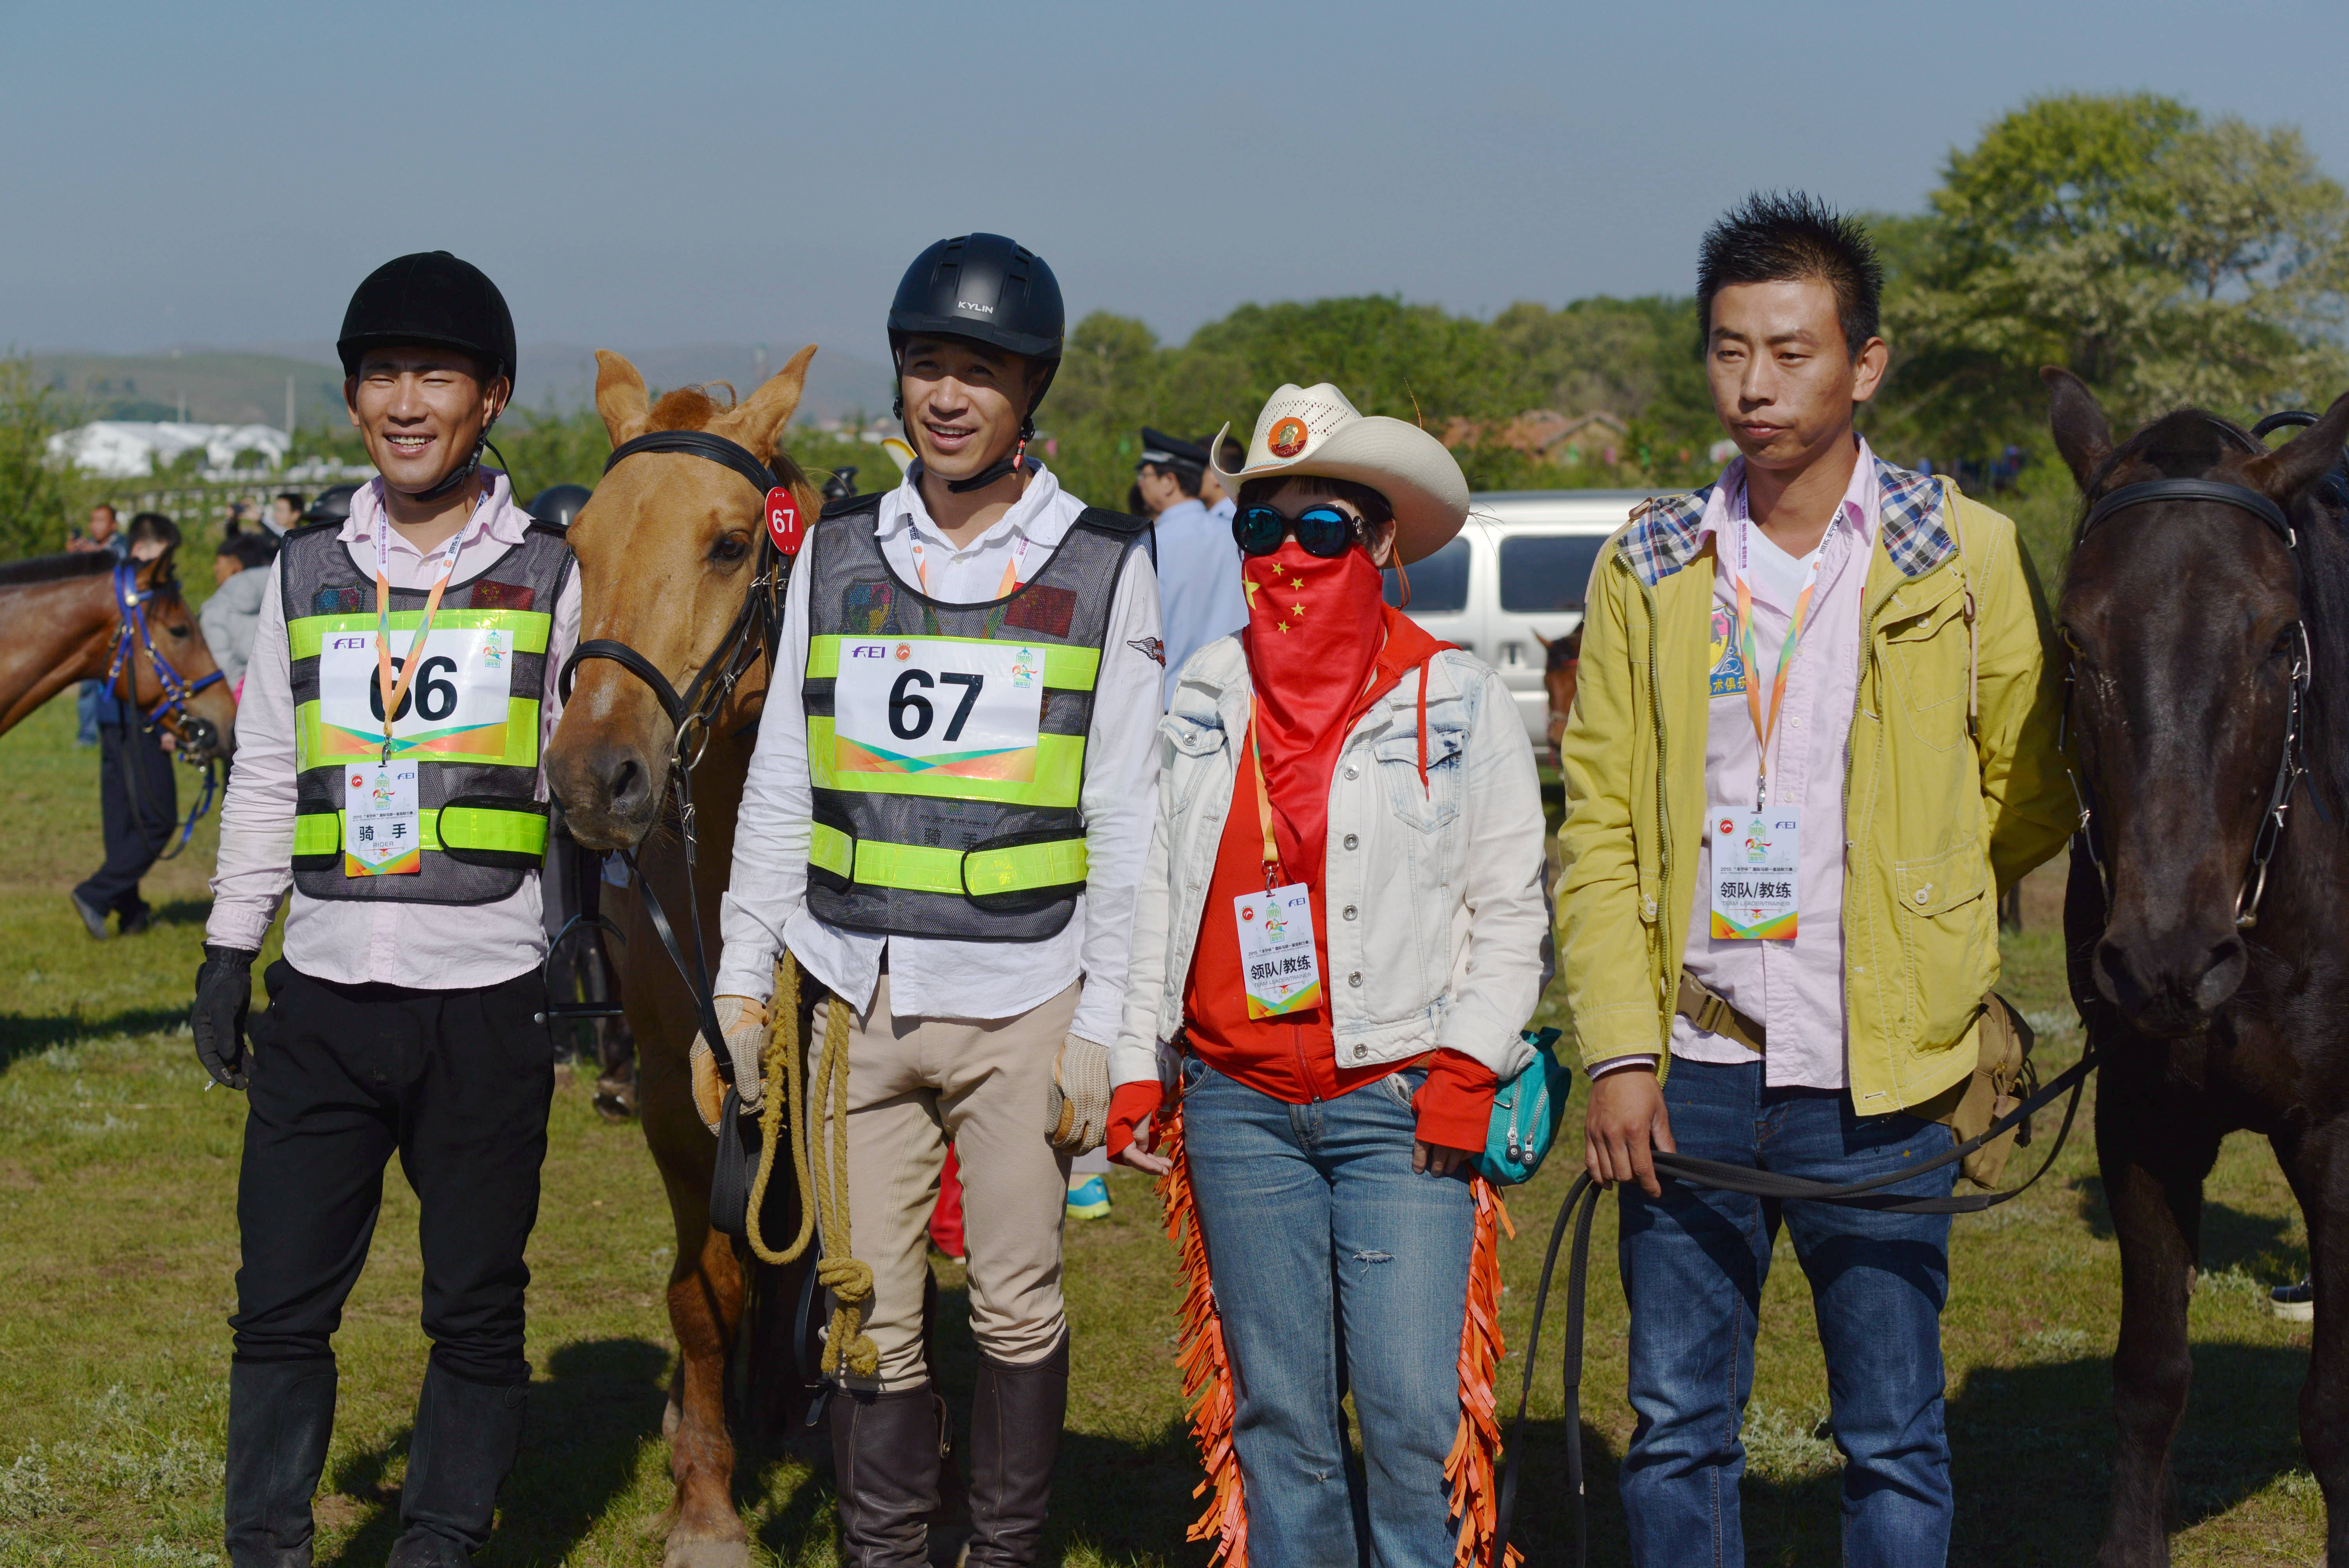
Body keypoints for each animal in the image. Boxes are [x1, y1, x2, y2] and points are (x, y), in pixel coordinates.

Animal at [2039, 371, 2349, 1568]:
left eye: (2275, 638)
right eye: (2075, 640)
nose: (2168, 962)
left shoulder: (2336, 1138)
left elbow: (2330, 1405)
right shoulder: (2143, 1118)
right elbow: (2151, 1382)